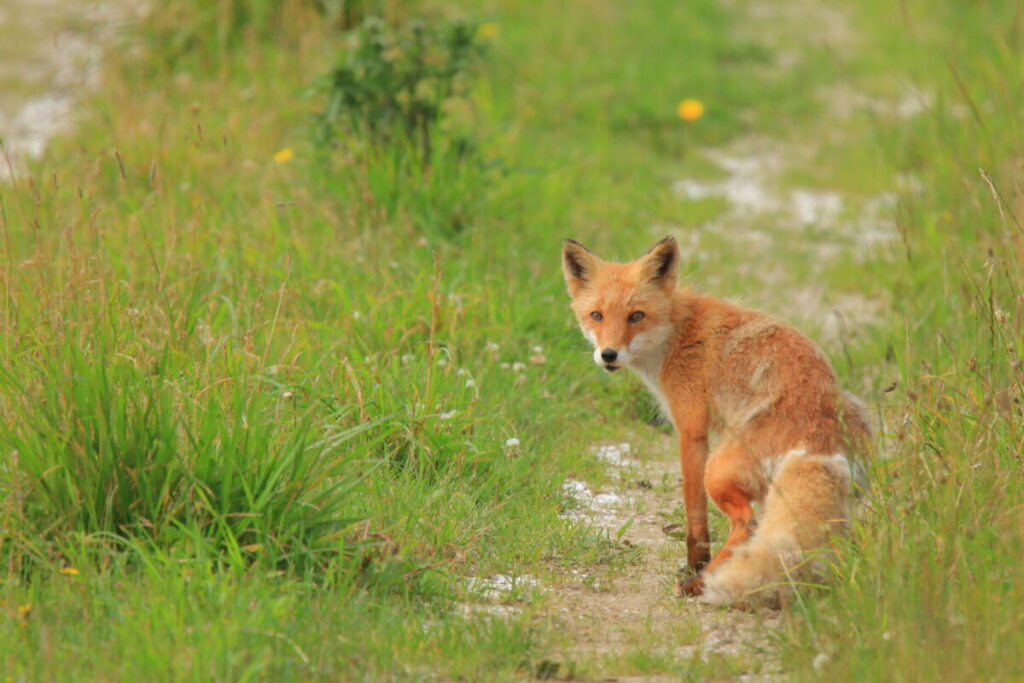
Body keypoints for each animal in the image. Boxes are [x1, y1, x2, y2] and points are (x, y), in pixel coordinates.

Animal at [561, 237, 872, 606]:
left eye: (636, 316)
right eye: (596, 316)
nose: (608, 355)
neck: (676, 332)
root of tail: (821, 434)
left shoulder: (690, 428)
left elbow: (694, 516)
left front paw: (694, 565)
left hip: (719, 470)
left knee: (747, 524)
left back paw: (701, 582)